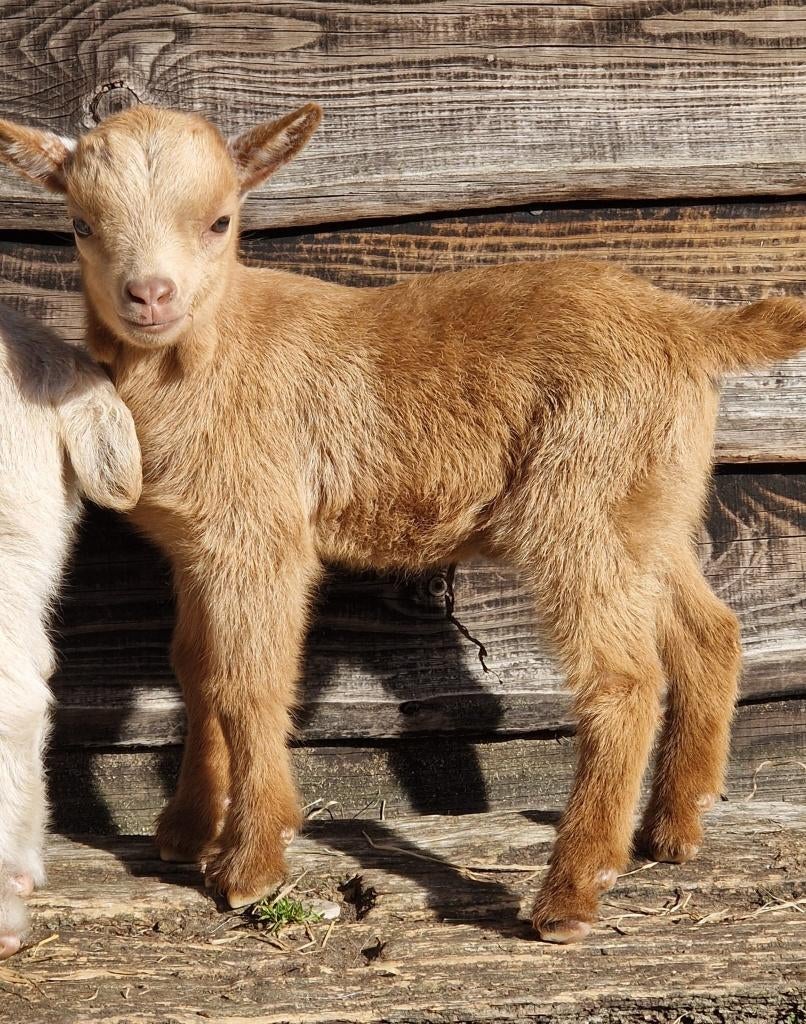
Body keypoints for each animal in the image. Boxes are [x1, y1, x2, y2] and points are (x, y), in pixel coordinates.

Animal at [0, 105, 802, 942]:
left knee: (624, 680)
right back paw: (673, 829)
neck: (209, 353)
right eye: (81, 223)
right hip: (649, 504)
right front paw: (186, 830)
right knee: (709, 631)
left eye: (220, 220)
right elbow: (197, 667)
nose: (150, 295)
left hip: (580, 502)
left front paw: (251, 865)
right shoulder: (197, 544)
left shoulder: (261, 534)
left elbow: (247, 683)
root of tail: (690, 327)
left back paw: (571, 892)